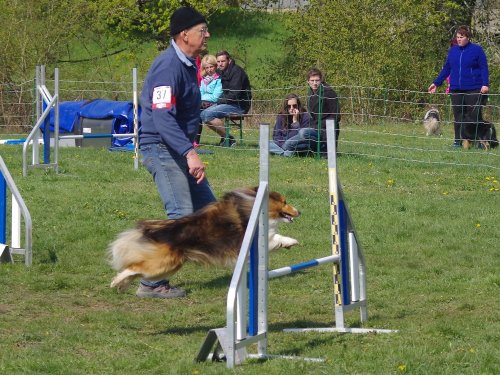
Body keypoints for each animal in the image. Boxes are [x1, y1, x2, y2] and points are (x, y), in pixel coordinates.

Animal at [107, 188, 298, 294]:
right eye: (285, 202)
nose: (299, 212)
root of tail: (163, 231)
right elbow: (274, 238)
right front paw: (291, 241)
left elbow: (275, 236)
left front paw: (289, 243)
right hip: (164, 264)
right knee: (134, 268)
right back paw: (116, 282)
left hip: (167, 266)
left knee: (135, 270)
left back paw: (121, 285)